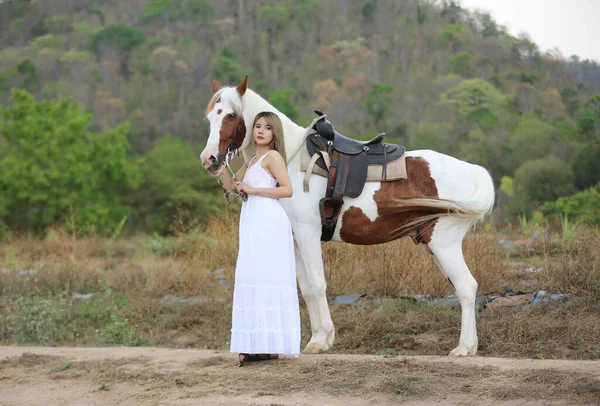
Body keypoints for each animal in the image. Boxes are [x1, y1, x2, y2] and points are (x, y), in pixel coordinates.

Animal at [199, 75, 494, 356]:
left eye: (231, 116)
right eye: (210, 116)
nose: (209, 159)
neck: (293, 161)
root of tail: (470, 170)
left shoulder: (307, 233)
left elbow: (317, 284)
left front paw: (320, 341)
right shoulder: (295, 238)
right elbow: (307, 288)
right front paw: (320, 337)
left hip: (443, 243)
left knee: (466, 287)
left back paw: (464, 347)